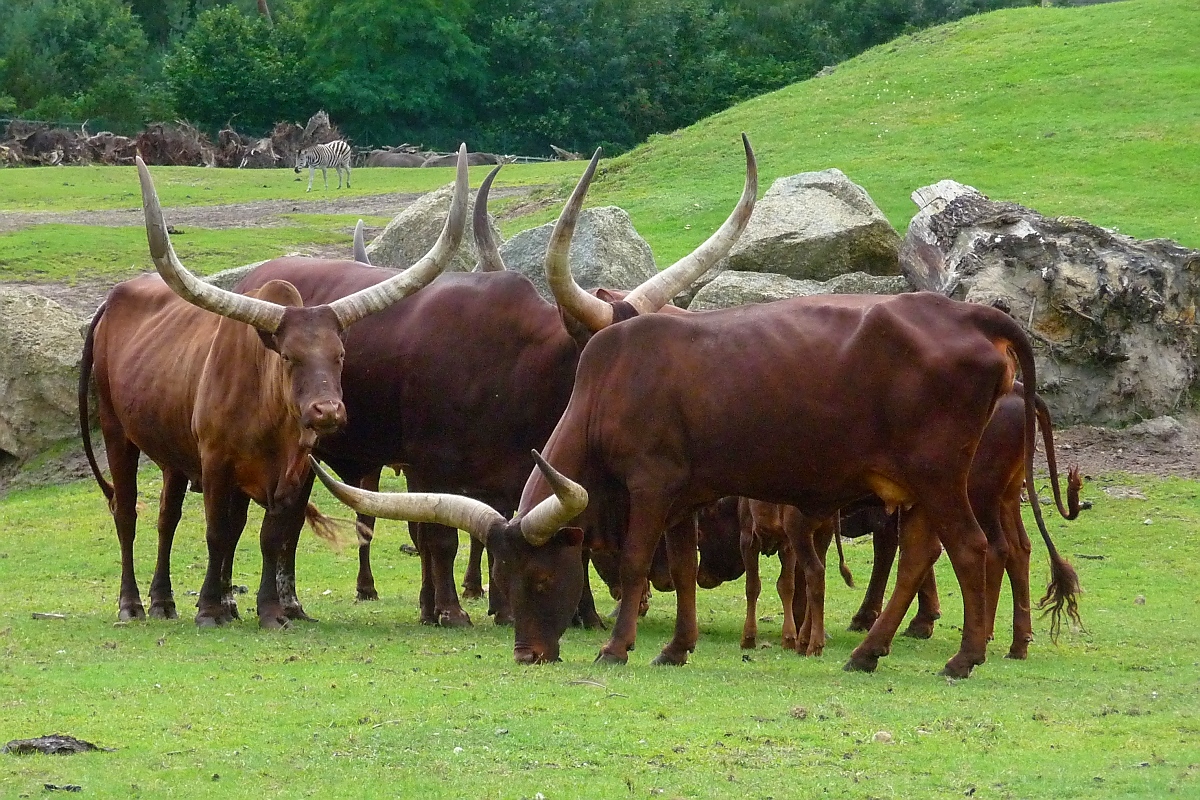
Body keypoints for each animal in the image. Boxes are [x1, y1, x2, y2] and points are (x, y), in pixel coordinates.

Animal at [79, 148, 470, 623]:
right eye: (287, 357)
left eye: (340, 355)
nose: (328, 411)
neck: (266, 418)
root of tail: (112, 299)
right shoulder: (215, 464)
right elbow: (218, 532)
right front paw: (210, 608)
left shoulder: (296, 471)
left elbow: (273, 534)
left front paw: (270, 609)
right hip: (116, 430)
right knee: (127, 514)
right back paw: (132, 603)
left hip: (172, 451)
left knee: (166, 517)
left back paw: (163, 600)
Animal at [235, 136, 753, 623]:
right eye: (601, 353)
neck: (517, 372)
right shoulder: (428, 463)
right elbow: (439, 537)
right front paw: (449, 610)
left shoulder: (536, 472)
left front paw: (554, 612)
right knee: (293, 524)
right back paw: (294, 603)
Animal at [316, 284, 1080, 681]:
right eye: (500, 576)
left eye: (538, 578)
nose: (528, 654)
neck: (608, 382)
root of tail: (965, 312)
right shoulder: (682, 496)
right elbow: (680, 569)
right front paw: (675, 647)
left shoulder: (651, 487)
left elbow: (632, 565)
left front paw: (616, 645)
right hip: (919, 487)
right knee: (926, 554)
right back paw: (869, 652)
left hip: (944, 479)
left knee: (976, 552)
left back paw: (963, 658)